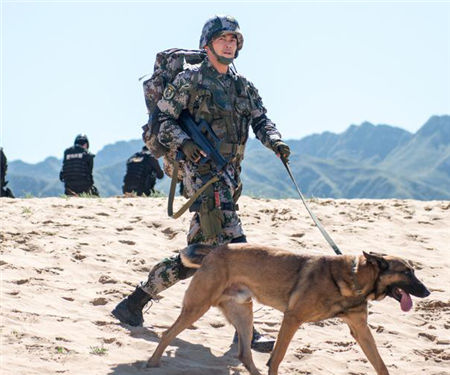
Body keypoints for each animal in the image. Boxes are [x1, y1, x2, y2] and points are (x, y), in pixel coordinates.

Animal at [146, 244, 430, 375]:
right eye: (407, 273)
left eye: (414, 271)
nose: (428, 292)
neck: (355, 277)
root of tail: (214, 251)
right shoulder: (292, 319)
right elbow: (278, 358)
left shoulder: (361, 330)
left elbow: (380, 364)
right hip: (197, 306)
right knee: (168, 333)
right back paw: (152, 363)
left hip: (244, 312)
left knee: (244, 353)